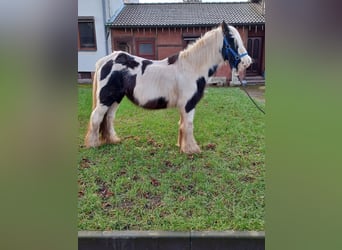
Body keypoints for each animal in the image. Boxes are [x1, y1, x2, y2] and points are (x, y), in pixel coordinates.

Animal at [85, 21, 251, 154]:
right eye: (232, 40)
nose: (247, 62)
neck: (192, 67)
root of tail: (106, 60)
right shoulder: (189, 104)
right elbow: (188, 125)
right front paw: (191, 149)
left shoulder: (184, 106)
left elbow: (182, 125)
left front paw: (182, 146)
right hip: (105, 98)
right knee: (96, 117)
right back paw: (93, 144)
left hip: (115, 98)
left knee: (108, 118)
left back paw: (112, 140)